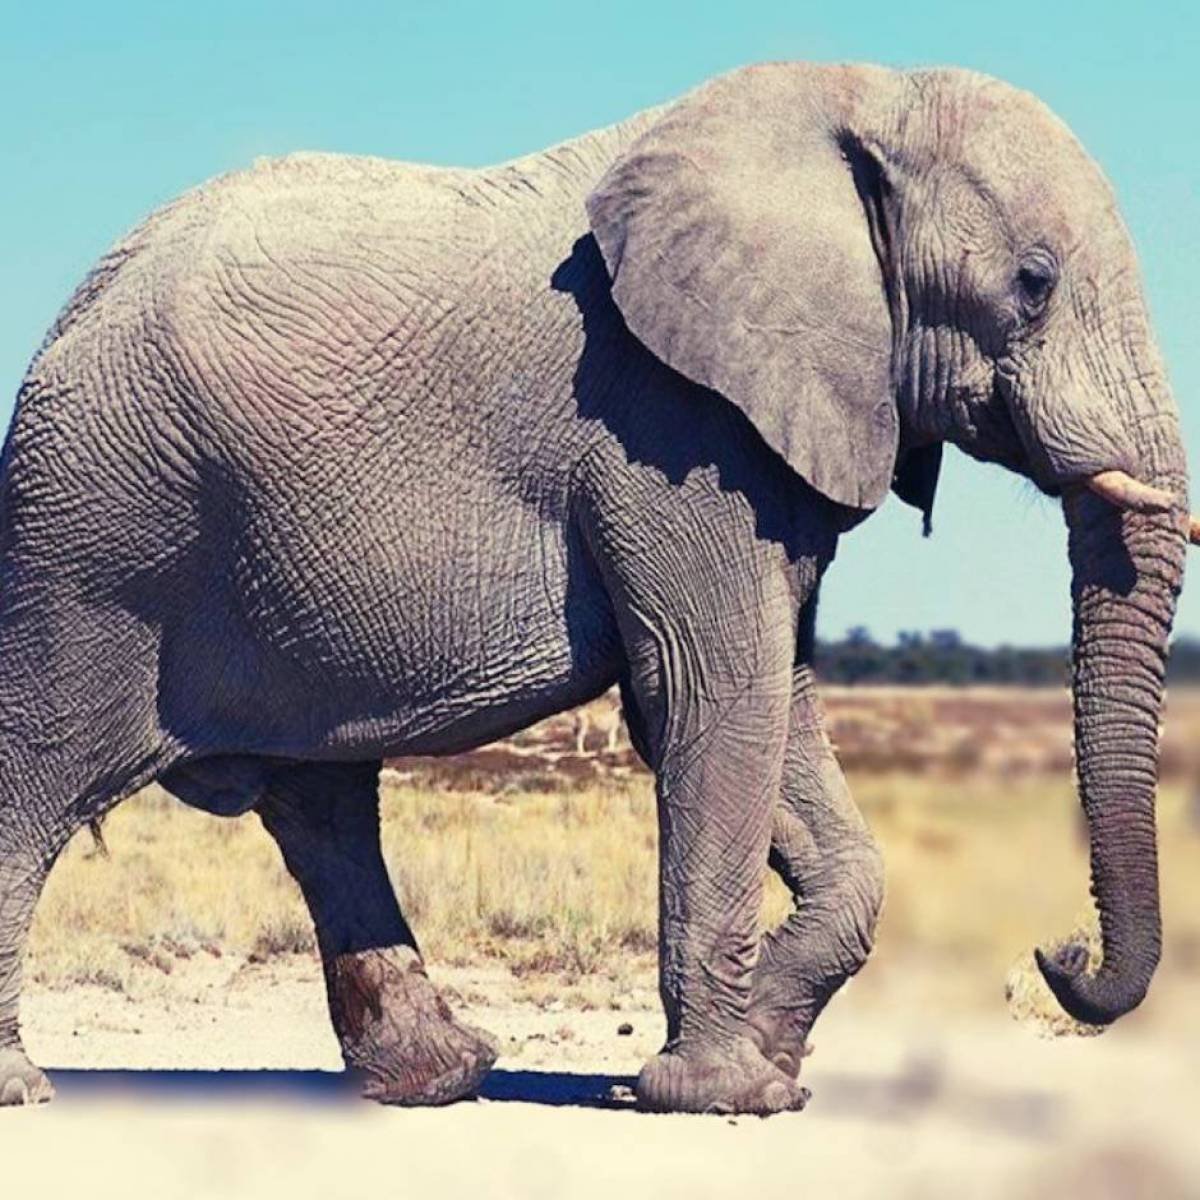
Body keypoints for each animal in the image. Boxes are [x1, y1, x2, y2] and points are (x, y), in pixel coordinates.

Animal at [0, 60, 1194, 1114]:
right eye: (1033, 282)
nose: (1058, 950)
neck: (856, 97)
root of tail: (67, 315)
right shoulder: (666, 427)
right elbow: (710, 697)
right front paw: (719, 1095)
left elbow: (774, 702)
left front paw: (770, 1065)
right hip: (91, 549)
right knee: (42, 776)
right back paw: (25, 1090)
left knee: (322, 803)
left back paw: (440, 1078)